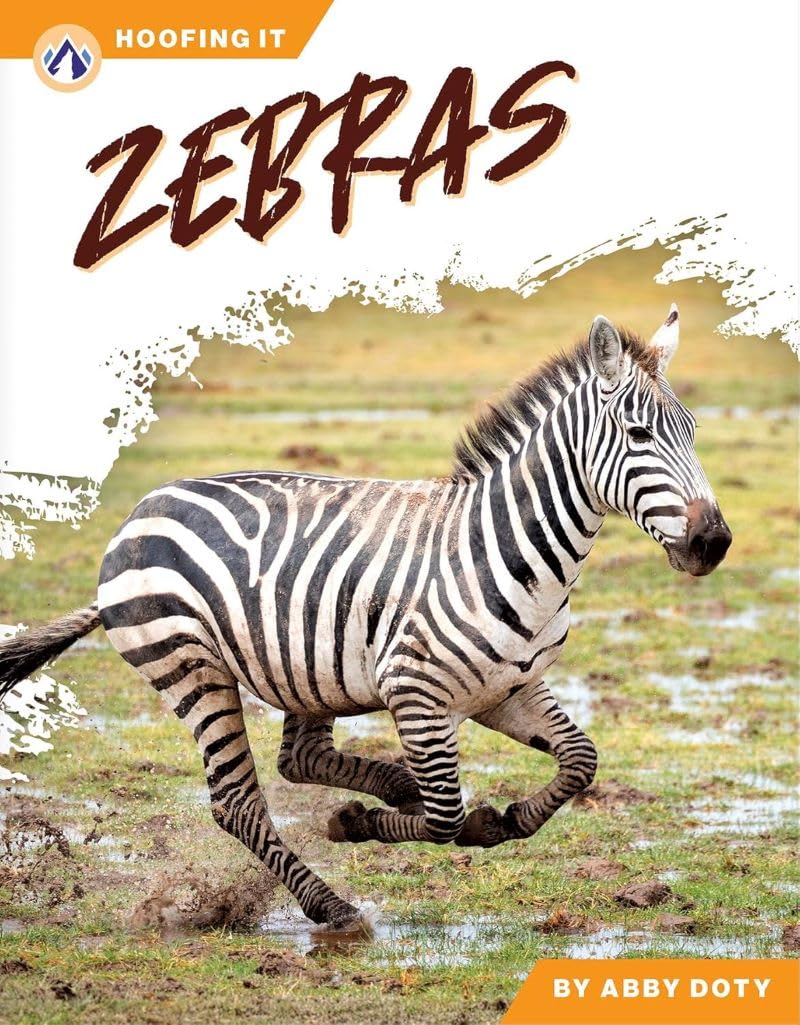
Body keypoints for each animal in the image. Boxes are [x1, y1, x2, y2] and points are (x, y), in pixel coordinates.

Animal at [0, 307, 732, 929]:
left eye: (695, 433)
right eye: (638, 434)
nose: (714, 542)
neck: (513, 557)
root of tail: (145, 507)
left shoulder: (508, 688)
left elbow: (580, 760)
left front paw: (507, 816)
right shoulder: (417, 694)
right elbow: (445, 816)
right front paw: (363, 825)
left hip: (306, 667)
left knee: (301, 758)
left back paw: (391, 788)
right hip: (192, 667)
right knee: (240, 801)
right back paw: (332, 903)